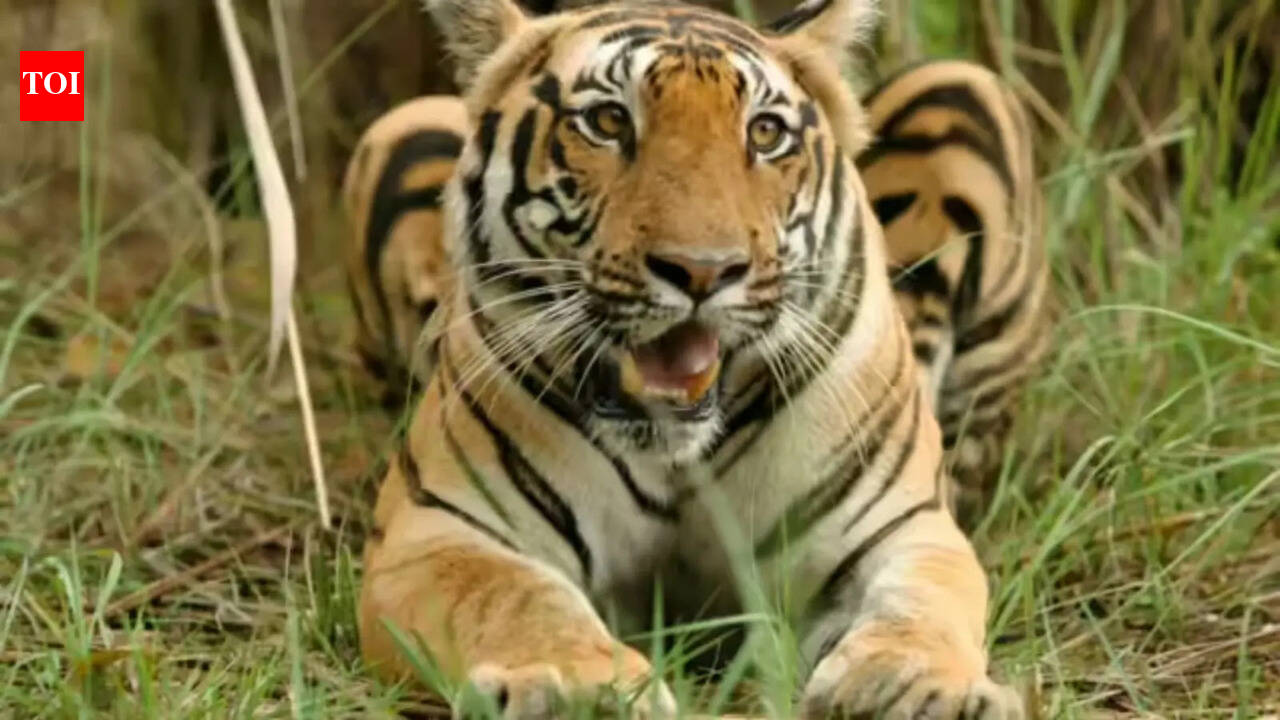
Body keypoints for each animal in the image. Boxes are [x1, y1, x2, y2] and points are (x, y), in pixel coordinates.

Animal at [350, 0, 1034, 717]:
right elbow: (519, 598)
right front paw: (573, 685)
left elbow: (918, 608)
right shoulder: (439, 528)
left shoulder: (904, 529)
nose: (704, 271)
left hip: (964, 83)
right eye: (608, 121)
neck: (674, 450)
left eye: (765, 133)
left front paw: (914, 686)